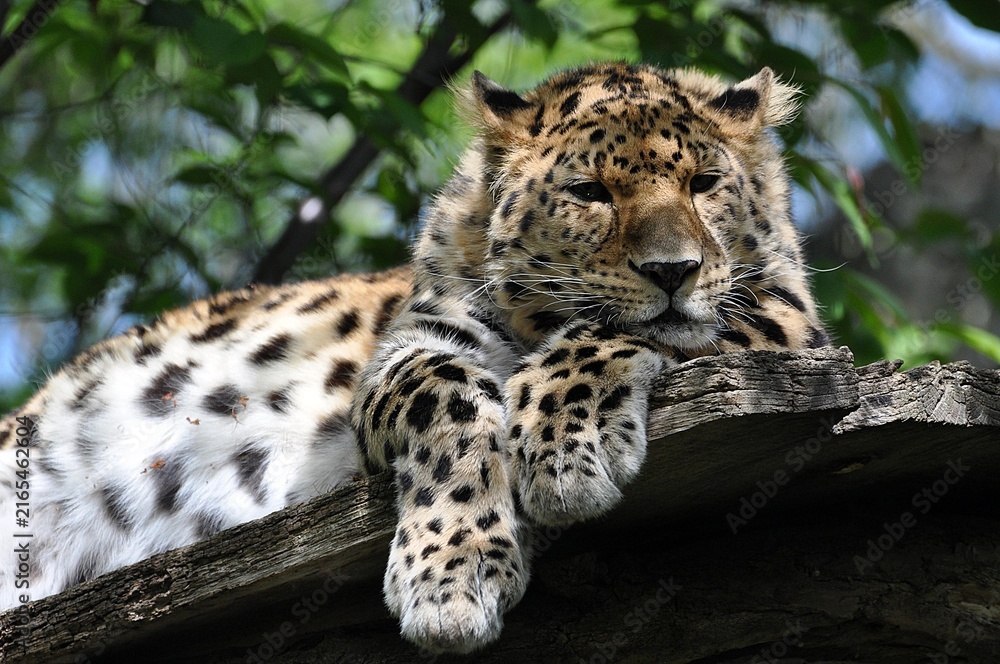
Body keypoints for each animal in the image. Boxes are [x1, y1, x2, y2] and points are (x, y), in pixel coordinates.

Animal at [0, 62, 828, 654]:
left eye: (705, 184)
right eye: (590, 191)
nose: (673, 270)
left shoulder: (791, 315)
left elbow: (625, 333)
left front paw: (563, 447)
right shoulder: (416, 344)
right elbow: (450, 397)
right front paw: (451, 578)